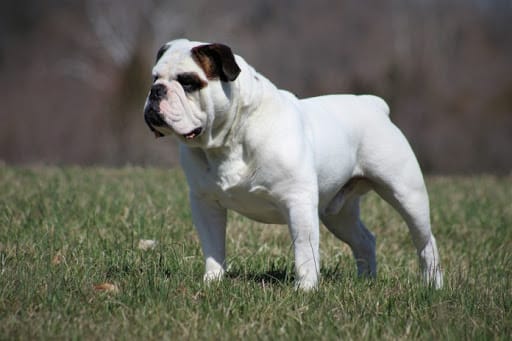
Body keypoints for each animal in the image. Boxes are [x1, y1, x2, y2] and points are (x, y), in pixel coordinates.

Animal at [142, 39, 442, 290]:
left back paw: (432, 285)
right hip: (337, 213)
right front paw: (212, 281)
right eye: (154, 77)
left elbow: (304, 250)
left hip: (406, 194)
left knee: (426, 241)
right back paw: (365, 280)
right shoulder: (205, 203)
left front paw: (306, 289)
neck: (230, 137)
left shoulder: (297, 201)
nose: (156, 91)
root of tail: (374, 105)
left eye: (188, 82)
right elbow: (213, 246)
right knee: (365, 240)